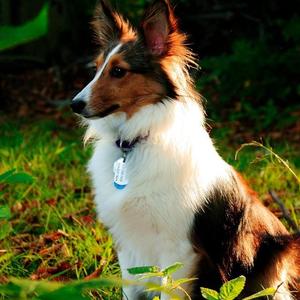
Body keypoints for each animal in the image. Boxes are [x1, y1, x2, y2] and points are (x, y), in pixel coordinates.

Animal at [71, 1, 300, 298]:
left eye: (119, 71)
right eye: (97, 68)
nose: (74, 104)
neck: (134, 142)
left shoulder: (178, 251)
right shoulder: (129, 248)